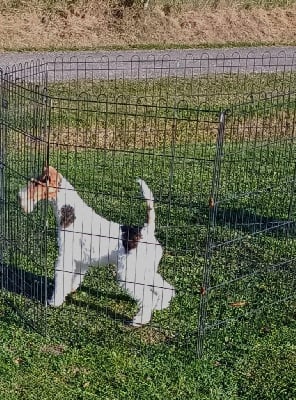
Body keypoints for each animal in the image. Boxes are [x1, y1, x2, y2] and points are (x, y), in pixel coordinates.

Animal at [18, 166, 175, 324]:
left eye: (36, 183)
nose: (20, 196)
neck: (71, 214)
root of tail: (146, 231)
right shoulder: (80, 261)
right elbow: (75, 277)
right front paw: (69, 290)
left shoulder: (65, 257)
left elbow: (61, 278)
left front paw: (54, 301)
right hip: (145, 270)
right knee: (165, 288)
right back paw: (160, 305)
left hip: (129, 273)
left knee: (148, 296)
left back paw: (140, 320)